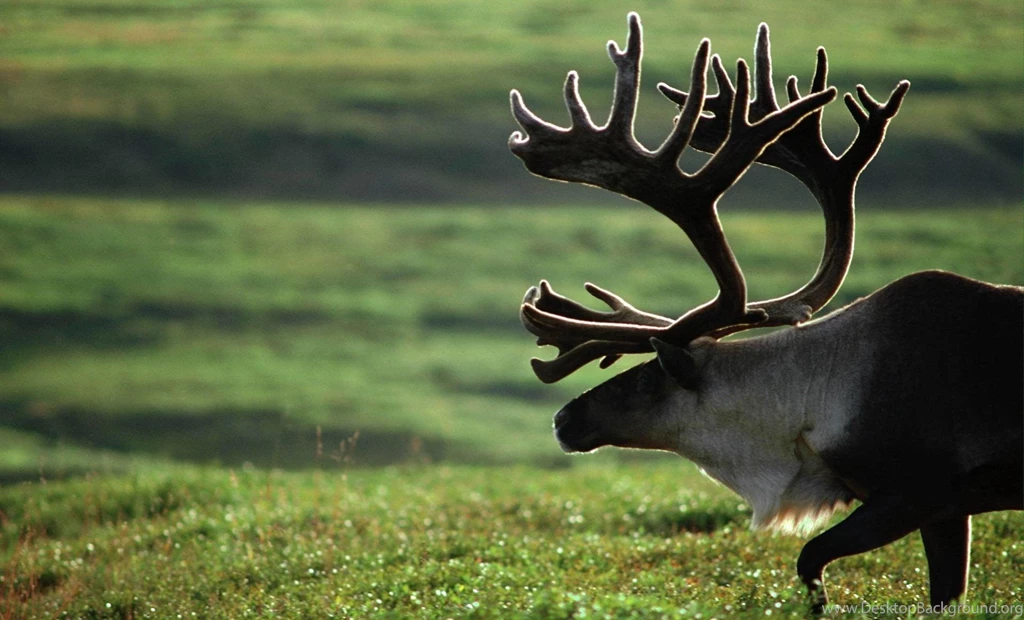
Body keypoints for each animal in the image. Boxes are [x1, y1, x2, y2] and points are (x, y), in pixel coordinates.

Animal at [508, 13, 1023, 612]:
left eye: (645, 378)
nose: (563, 419)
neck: (814, 403)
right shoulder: (946, 509)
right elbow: (944, 592)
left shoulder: (917, 490)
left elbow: (809, 561)